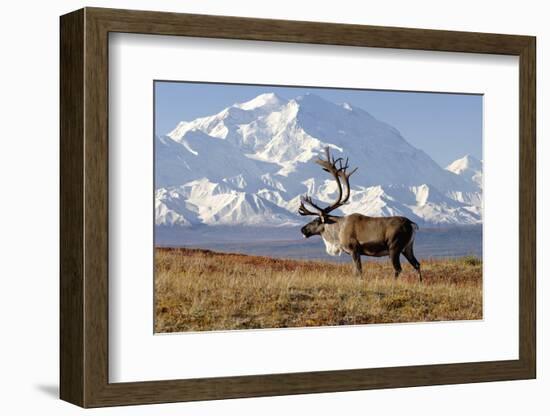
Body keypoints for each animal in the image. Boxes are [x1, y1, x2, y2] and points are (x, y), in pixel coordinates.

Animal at [302, 148, 422, 282]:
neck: (338, 230)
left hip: (394, 248)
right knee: (417, 264)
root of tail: (412, 224)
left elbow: (358, 271)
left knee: (398, 268)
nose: (302, 229)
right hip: (408, 248)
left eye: (316, 220)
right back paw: (420, 283)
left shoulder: (354, 250)